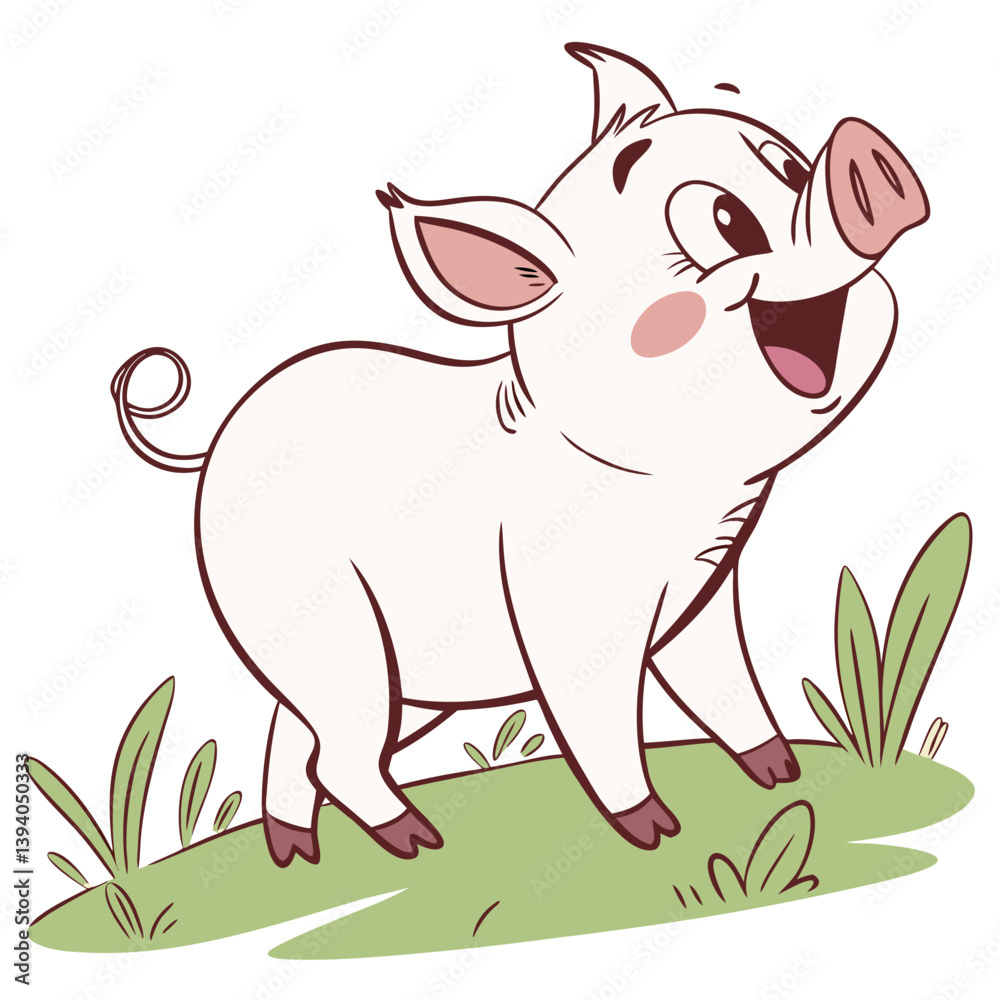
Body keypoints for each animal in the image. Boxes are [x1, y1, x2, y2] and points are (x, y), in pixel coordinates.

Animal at [112, 43, 929, 866]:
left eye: (788, 166)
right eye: (729, 222)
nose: (867, 152)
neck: (672, 486)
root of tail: (217, 441)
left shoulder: (707, 587)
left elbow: (721, 681)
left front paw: (786, 776)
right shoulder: (565, 607)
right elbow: (597, 715)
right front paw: (659, 837)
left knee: (297, 734)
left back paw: (296, 855)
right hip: (324, 618)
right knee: (335, 750)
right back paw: (419, 844)